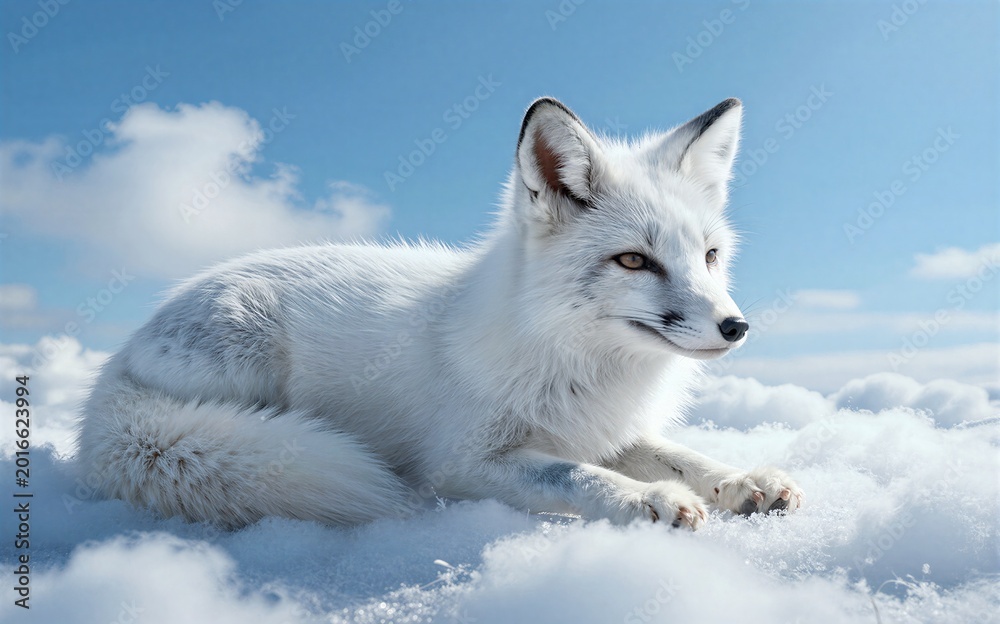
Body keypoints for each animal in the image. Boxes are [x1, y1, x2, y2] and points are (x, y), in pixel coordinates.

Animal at [77, 96, 803, 530]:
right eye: (633, 261)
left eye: (709, 255)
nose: (735, 327)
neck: (573, 362)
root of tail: (114, 368)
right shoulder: (462, 462)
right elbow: (571, 474)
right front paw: (644, 499)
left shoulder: (607, 430)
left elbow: (680, 454)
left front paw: (741, 480)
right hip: (248, 356)